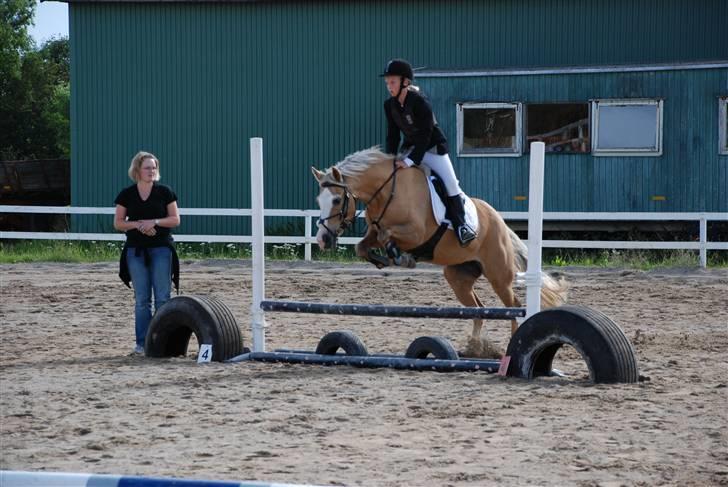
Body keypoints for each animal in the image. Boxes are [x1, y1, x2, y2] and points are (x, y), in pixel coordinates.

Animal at [310, 147, 564, 356]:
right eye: (318, 201)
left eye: (336, 200)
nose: (323, 240)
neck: (386, 191)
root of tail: (499, 221)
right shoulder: (373, 231)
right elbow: (362, 245)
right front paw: (383, 259)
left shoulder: (416, 233)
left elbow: (387, 236)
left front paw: (403, 257)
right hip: (458, 277)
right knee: (479, 309)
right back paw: (474, 349)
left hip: (499, 276)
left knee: (514, 307)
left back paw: (511, 346)